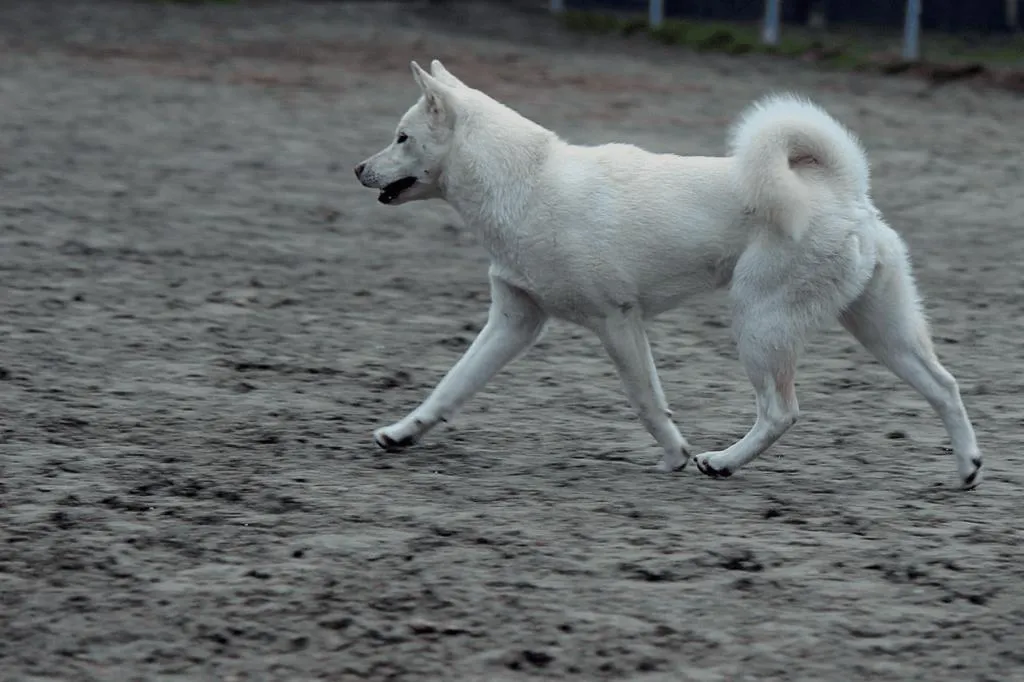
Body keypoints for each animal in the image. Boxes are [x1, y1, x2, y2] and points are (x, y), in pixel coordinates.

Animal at [354, 57, 983, 483]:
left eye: (402, 137)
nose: (359, 168)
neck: (525, 183)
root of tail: (845, 188)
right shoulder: (514, 322)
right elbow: (450, 386)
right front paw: (401, 434)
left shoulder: (618, 322)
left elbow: (647, 402)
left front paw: (675, 455)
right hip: (879, 328)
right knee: (944, 385)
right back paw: (968, 468)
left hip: (760, 323)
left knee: (781, 411)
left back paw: (721, 462)